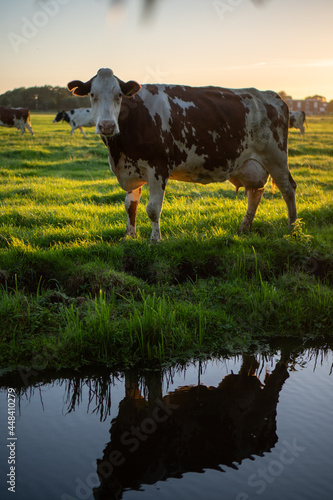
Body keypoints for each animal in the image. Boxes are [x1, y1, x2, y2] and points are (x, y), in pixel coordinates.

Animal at [67, 68, 296, 242]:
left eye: (119, 96)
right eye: (92, 95)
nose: (106, 125)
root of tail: (272, 95)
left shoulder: (158, 168)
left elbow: (153, 208)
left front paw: (155, 240)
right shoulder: (131, 168)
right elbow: (130, 206)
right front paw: (129, 237)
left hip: (276, 157)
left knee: (288, 189)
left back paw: (292, 227)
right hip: (250, 164)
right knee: (255, 192)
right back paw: (244, 229)